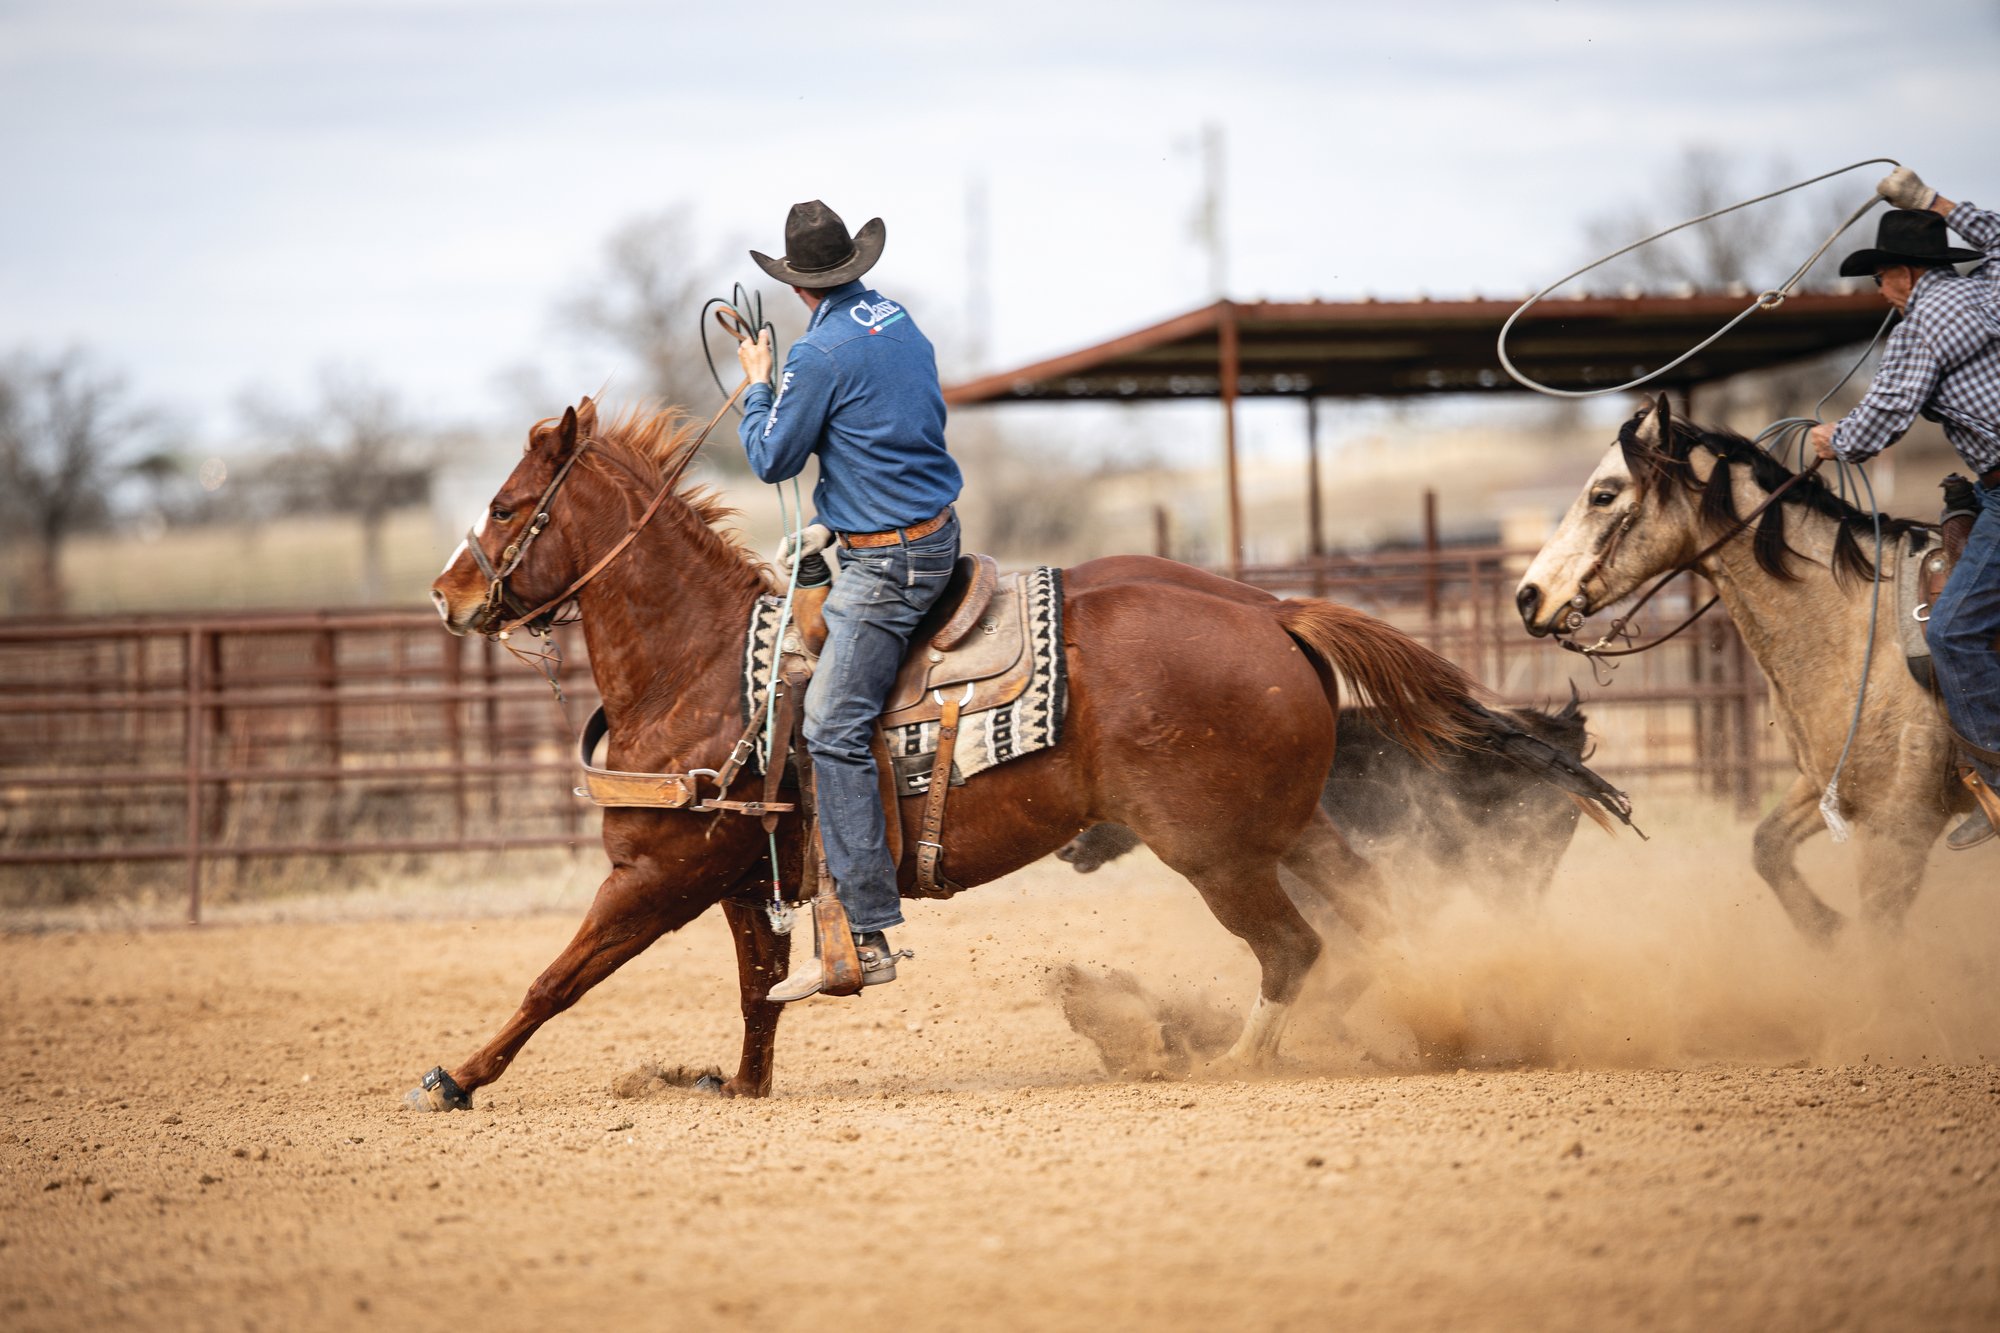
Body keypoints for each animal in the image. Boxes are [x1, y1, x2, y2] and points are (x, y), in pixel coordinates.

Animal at [1515, 395, 1969, 940]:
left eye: (1603, 495)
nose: (1527, 596)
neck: (1864, 633)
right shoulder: (1824, 785)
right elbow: (1767, 847)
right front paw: (1826, 928)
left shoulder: (1898, 825)